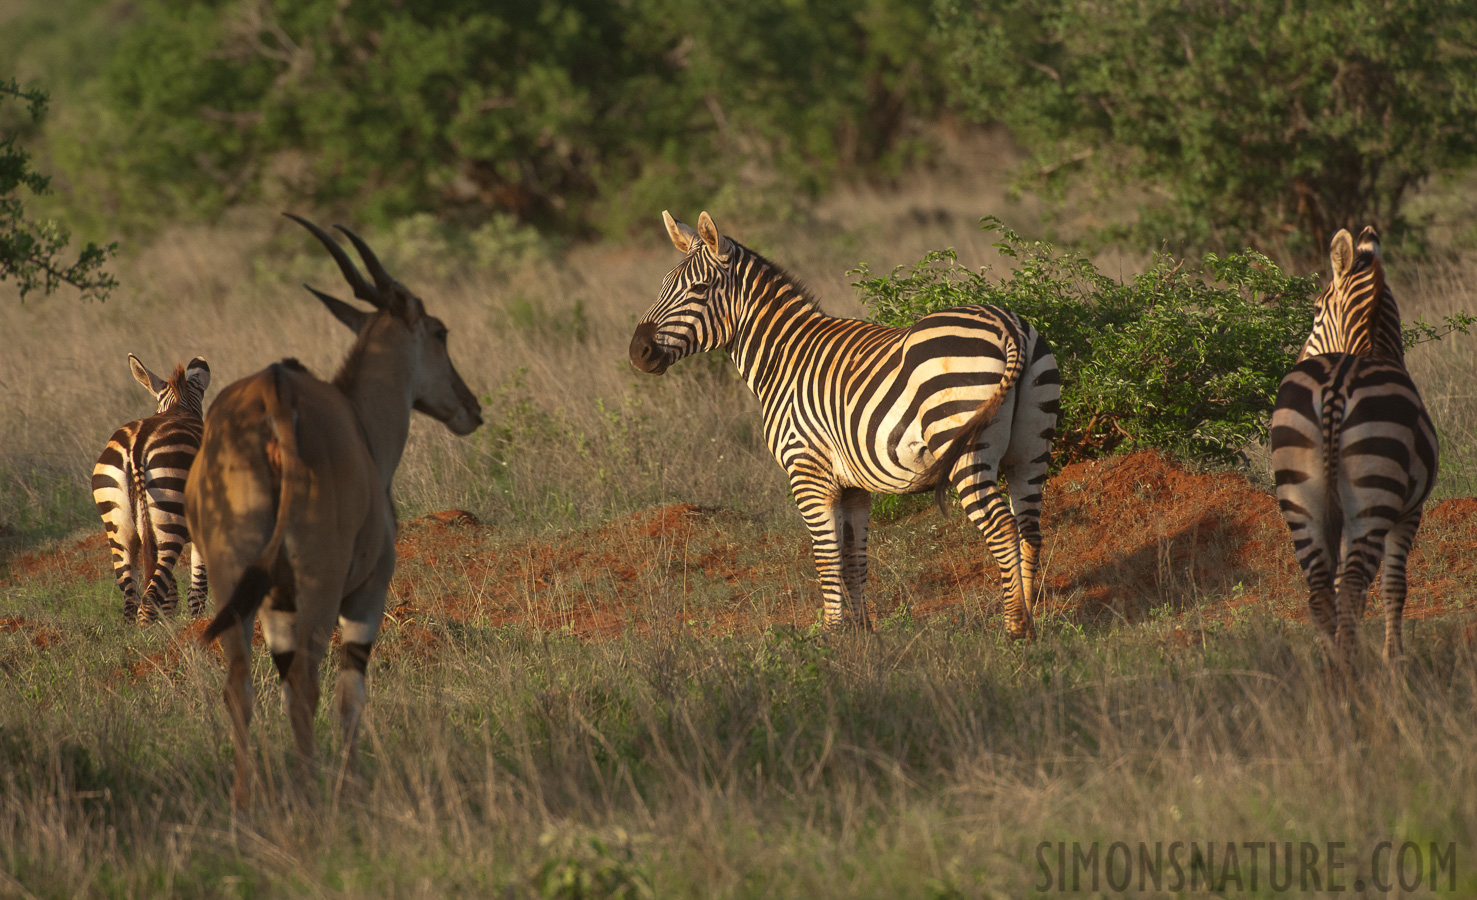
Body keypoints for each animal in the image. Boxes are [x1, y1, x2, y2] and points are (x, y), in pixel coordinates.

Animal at [93, 354, 211, 620]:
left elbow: (172, 593)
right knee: (148, 599)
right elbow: (197, 588)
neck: (178, 407)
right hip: (169, 520)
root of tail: (137, 446)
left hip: (118, 527)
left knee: (132, 599)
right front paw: (198, 623)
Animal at [629, 209, 1057, 635]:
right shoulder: (853, 486)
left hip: (964, 444)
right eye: (663, 286)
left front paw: (831, 633)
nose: (638, 352)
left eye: (699, 289)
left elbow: (826, 556)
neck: (783, 358)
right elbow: (854, 559)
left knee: (1002, 527)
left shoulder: (807, 471)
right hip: (1032, 448)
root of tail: (1007, 324)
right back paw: (1033, 621)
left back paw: (1015, 628)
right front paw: (863, 632)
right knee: (1030, 528)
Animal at [1264, 227, 1435, 662]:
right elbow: (1394, 586)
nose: (1297, 356)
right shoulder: (1410, 511)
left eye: (1314, 312)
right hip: (1374, 494)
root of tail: (1337, 382)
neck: (1368, 348)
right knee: (1353, 584)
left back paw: (1334, 666)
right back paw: (1352, 666)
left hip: (1299, 495)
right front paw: (1395, 659)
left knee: (1322, 592)